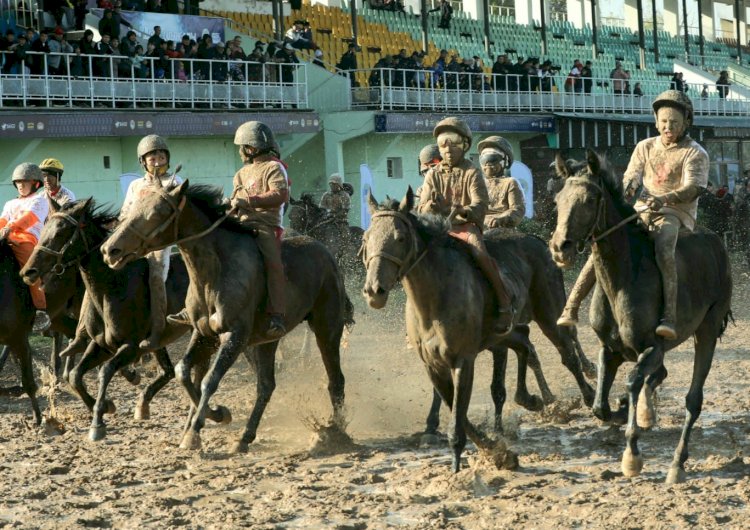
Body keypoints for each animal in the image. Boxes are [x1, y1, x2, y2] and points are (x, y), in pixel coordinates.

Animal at [21, 196, 194, 440]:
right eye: (44, 227)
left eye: (62, 232)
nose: (29, 271)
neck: (114, 286)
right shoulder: (101, 344)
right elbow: (74, 375)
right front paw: (105, 406)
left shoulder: (131, 346)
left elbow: (105, 371)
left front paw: (97, 423)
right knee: (168, 370)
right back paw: (143, 403)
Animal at [100, 180, 356, 450]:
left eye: (157, 211)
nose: (110, 250)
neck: (214, 273)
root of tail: (327, 254)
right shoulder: (205, 335)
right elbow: (183, 372)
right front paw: (215, 414)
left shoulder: (234, 336)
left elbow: (209, 380)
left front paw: (195, 432)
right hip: (268, 340)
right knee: (266, 385)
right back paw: (245, 437)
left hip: (327, 327)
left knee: (335, 379)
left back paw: (336, 431)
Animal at [362, 187, 596, 470]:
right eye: (366, 238)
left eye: (399, 237)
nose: (374, 290)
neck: (434, 297)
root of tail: (537, 240)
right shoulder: (433, 365)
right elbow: (456, 410)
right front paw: (492, 447)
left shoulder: (463, 359)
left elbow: (461, 411)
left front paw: (460, 459)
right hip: (507, 331)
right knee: (525, 342)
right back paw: (531, 398)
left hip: (550, 314)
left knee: (568, 353)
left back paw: (588, 395)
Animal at [548, 150, 732, 482]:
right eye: (558, 200)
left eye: (590, 199)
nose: (559, 247)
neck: (624, 279)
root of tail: (717, 244)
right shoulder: (610, 349)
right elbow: (600, 407)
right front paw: (623, 409)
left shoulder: (652, 347)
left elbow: (633, 381)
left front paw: (631, 454)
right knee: (660, 376)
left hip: (708, 331)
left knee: (693, 400)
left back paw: (676, 463)